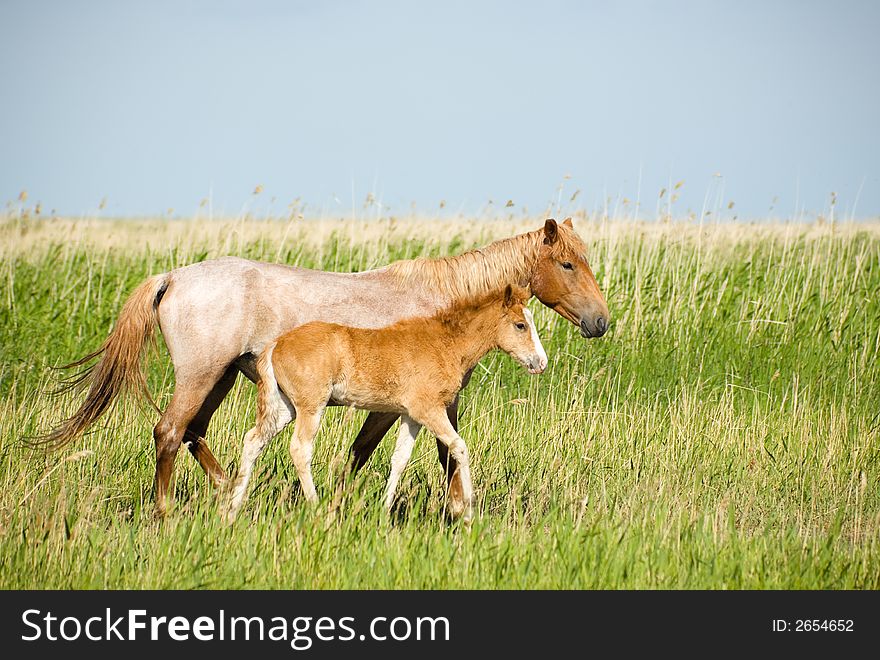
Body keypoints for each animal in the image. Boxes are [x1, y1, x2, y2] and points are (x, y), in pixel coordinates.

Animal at [220, 286, 548, 524]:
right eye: (520, 325)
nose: (541, 363)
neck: (445, 344)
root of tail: (275, 344)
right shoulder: (430, 410)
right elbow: (460, 447)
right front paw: (468, 513)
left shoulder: (411, 415)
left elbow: (400, 459)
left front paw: (384, 509)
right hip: (311, 406)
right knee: (300, 449)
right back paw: (316, 507)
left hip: (284, 408)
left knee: (253, 441)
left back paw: (231, 510)